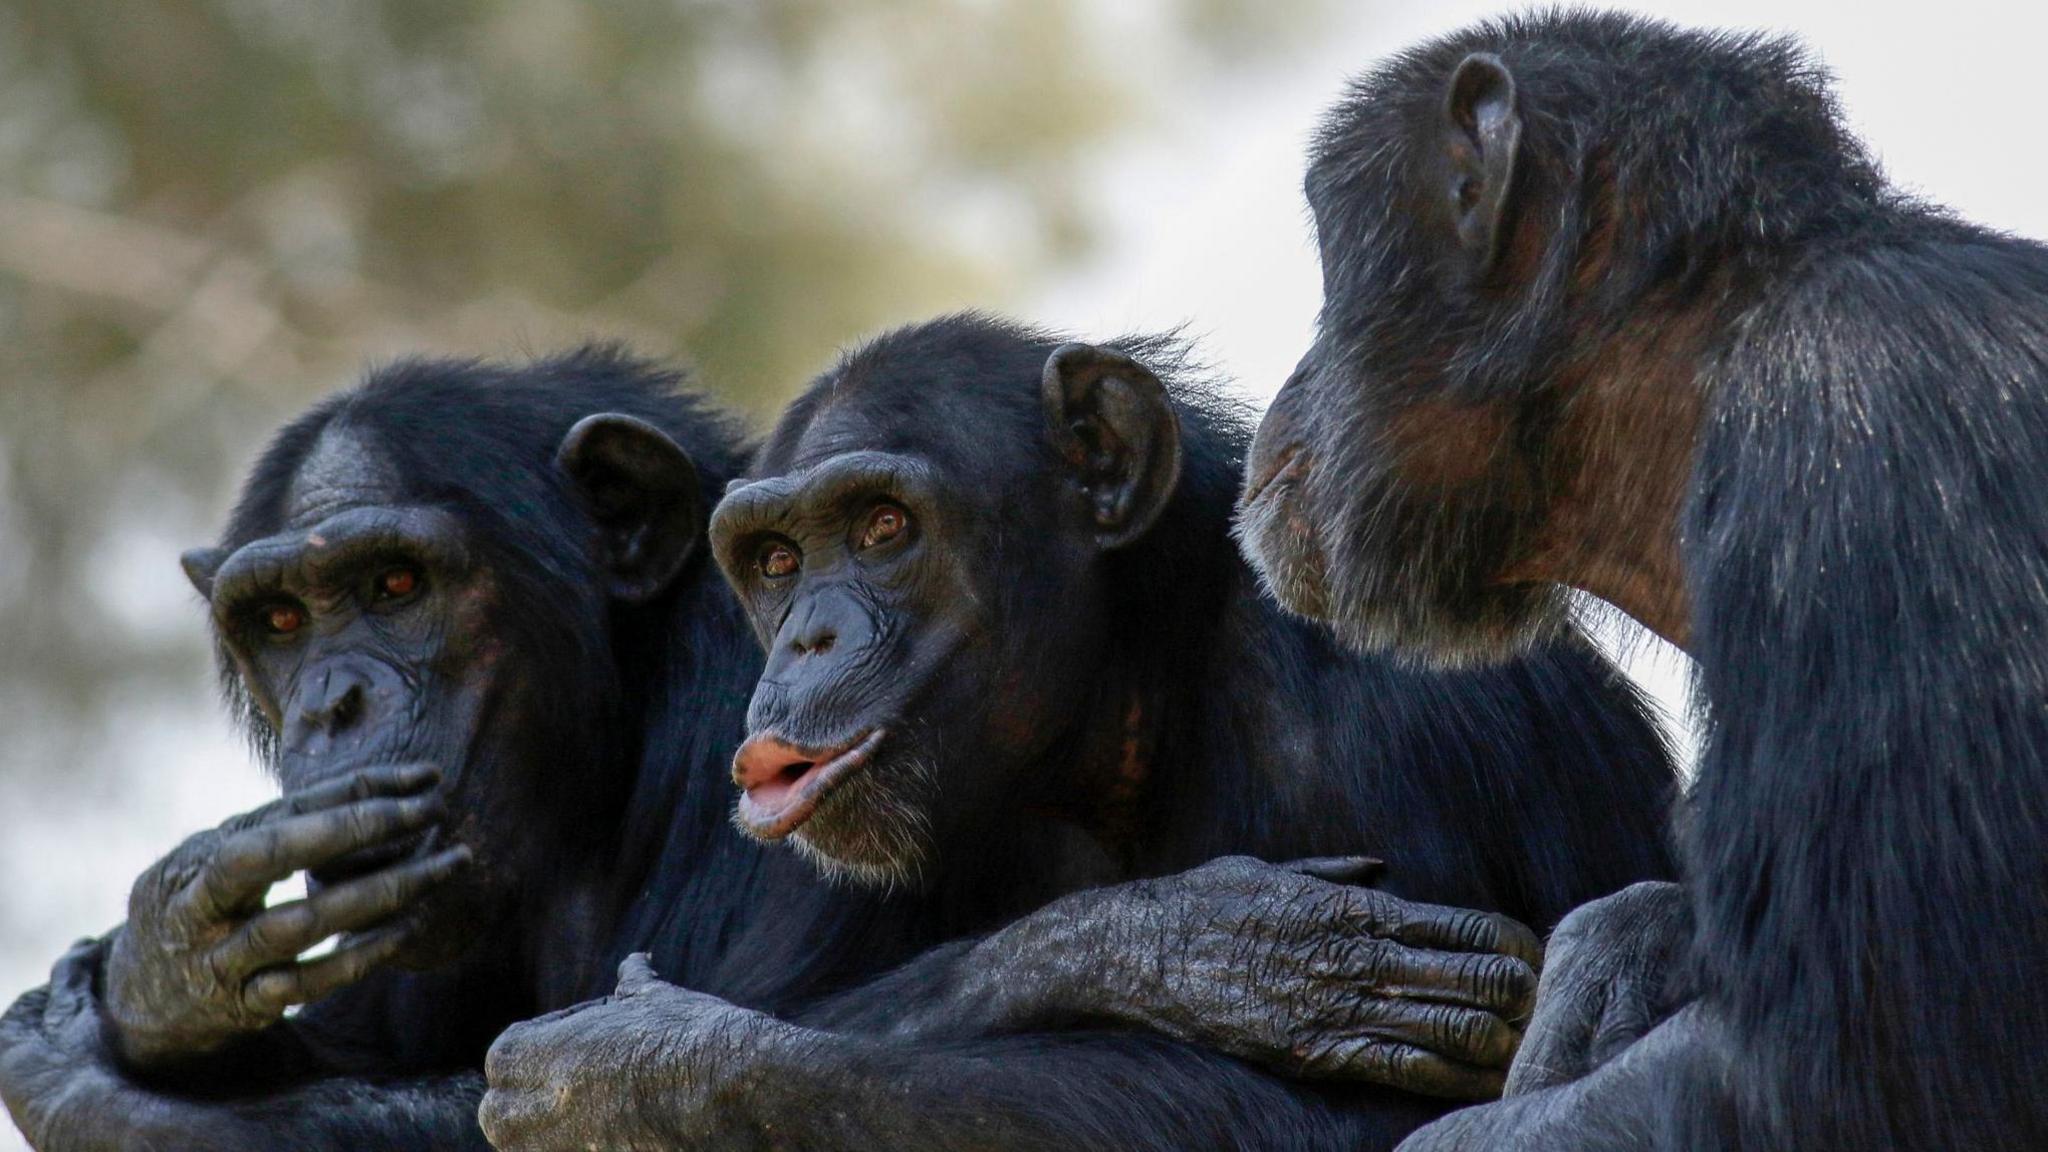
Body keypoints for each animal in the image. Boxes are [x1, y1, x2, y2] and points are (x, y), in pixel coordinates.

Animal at [479, 313, 1679, 1147]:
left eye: (882, 527)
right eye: (776, 560)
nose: (807, 639)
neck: (1122, 692)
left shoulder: (1391, 718)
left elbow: (1377, 1123)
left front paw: (636, 1074)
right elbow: (782, 994)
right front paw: (1192, 947)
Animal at [1236, 11, 2048, 1147]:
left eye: (1322, 260)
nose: (1293, 379)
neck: (1705, 373)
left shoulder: (1865, 437)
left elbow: (1850, 1064)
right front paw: (1613, 951)